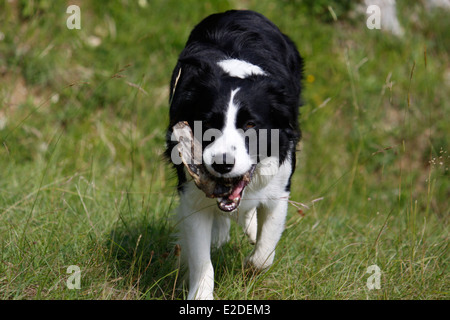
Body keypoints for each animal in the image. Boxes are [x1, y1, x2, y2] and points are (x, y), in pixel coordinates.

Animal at [164, 10, 302, 300]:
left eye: (250, 125)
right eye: (207, 123)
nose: (222, 165)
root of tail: (240, 11)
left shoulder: (280, 184)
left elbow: (264, 254)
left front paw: (249, 266)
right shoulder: (192, 194)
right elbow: (202, 259)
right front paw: (200, 296)